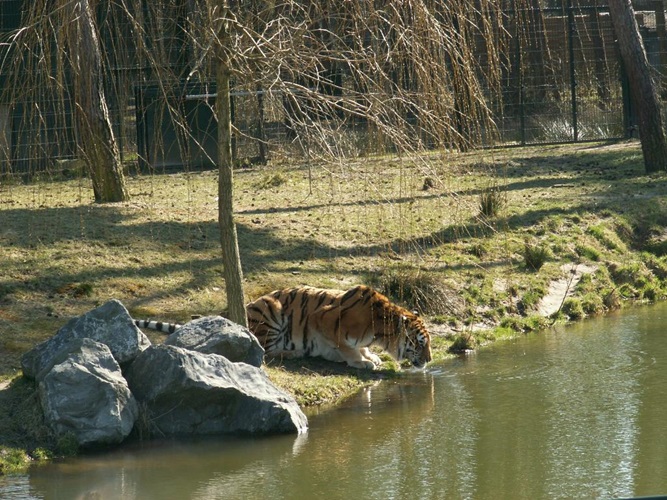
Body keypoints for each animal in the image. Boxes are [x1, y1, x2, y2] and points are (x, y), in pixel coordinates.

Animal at [245, 284, 434, 370]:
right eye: (420, 343)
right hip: (270, 308)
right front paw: (361, 361)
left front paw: (370, 356)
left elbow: (359, 347)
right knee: (265, 349)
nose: (430, 359)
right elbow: (346, 347)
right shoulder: (321, 318)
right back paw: (295, 352)